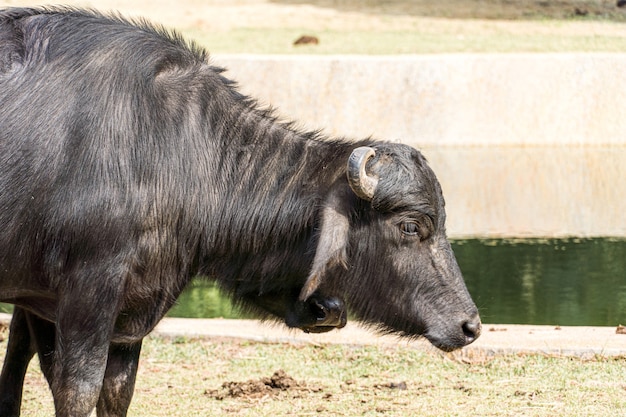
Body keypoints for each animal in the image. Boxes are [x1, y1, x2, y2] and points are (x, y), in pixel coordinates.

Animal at [0, 7, 478, 416]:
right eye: (411, 226)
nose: (470, 325)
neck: (173, 151)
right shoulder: (87, 292)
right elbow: (76, 392)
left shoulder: (121, 308)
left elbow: (112, 393)